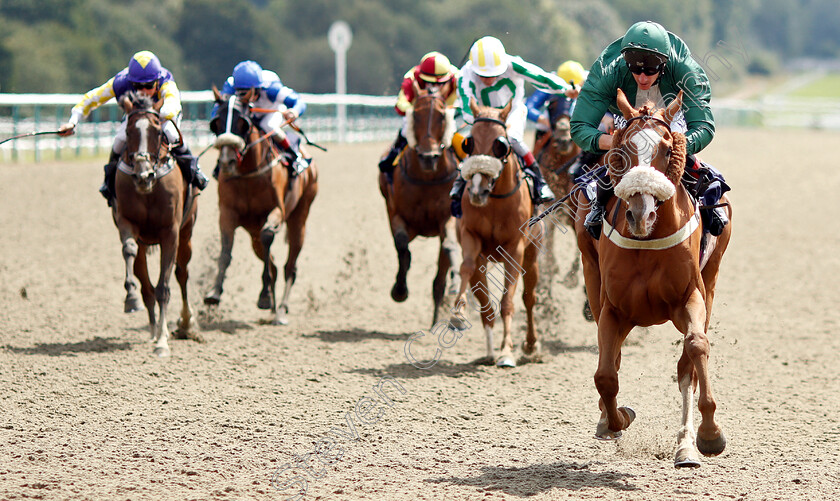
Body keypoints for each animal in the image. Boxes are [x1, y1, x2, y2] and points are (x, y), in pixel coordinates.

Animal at [112, 93, 199, 356]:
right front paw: (130, 297)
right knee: (146, 285)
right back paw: (152, 326)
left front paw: (162, 342)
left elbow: (164, 287)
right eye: (128, 131)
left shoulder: (170, 232)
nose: (144, 176)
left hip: (187, 234)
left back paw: (184, 323)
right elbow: (129, 251)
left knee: (182, 274)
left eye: (158, 130)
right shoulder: (127, 223)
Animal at [205, 87, 320, 324]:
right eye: (216, 123)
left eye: (243, 122)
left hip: (300, 216)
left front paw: (265, 296)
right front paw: (214, 293)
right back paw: (274, 308)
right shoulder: (228, 214)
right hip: (252, 231)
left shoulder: (277, 211)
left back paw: (282, 309)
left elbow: (268, 237)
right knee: (273, 263)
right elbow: (226, 250)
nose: (227, 162)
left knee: (289, 266)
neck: (249, 174)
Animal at [378, 82, 462, 324]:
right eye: (415, 114)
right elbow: (402, 247)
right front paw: (399, 290)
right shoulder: (396, 214)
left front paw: (456, 283)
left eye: (442, 116)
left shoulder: (448, 217)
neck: (427, 178)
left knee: (439, 278)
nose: (428, 157)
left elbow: (450, 246)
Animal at [450, 98, 540, 368]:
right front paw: (458, 314)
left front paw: (507, 351)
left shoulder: (515, 248)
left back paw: (531, 344)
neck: (495, 202)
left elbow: (508, 301)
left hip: (532, 255)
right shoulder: (471, 237)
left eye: (500, 144)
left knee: (529, 298)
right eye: (468, 142)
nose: (477, 191)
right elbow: (467, 270)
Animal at [576, 89, 732, 464]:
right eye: (623, 150)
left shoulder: (690, 296)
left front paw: (709, 434)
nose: (640, 214)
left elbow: (696, 346)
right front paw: (615, 420)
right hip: (590, 273)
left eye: (665, 147)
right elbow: (606, 374)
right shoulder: (614, 308)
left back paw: (687, 445)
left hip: (712, 278)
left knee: (687, 363)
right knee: (612, 359)